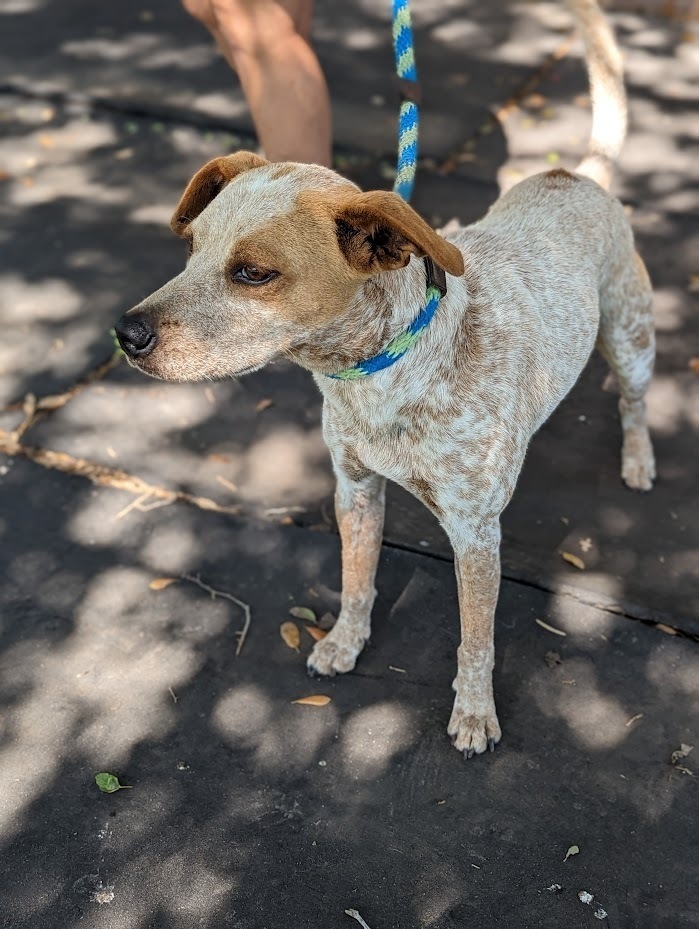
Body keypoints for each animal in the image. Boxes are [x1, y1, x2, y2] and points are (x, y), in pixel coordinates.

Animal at [116, 0, 656, 752]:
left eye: (253, 272)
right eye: (191, 250)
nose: (125, 333)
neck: (378, 375)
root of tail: (577, 175)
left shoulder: (474, 533)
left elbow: (475, 638)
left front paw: (473, 713)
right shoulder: (355, 491)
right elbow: (356, 580)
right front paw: (344, 643)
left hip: (631, 338)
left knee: (634, 402)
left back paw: (637, 459)